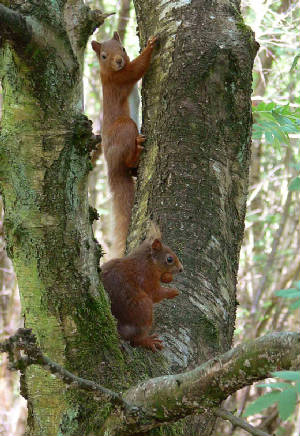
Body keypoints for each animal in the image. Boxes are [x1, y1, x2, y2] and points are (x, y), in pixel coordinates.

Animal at [91, 32, 157, 258]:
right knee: (127, 158)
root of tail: (112, 168)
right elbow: (137, 68)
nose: (119, 61)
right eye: (103, 56)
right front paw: (151, 45)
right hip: (125, 127)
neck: (107, 72)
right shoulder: (119, 79)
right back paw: (137, 148)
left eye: (123, 49)